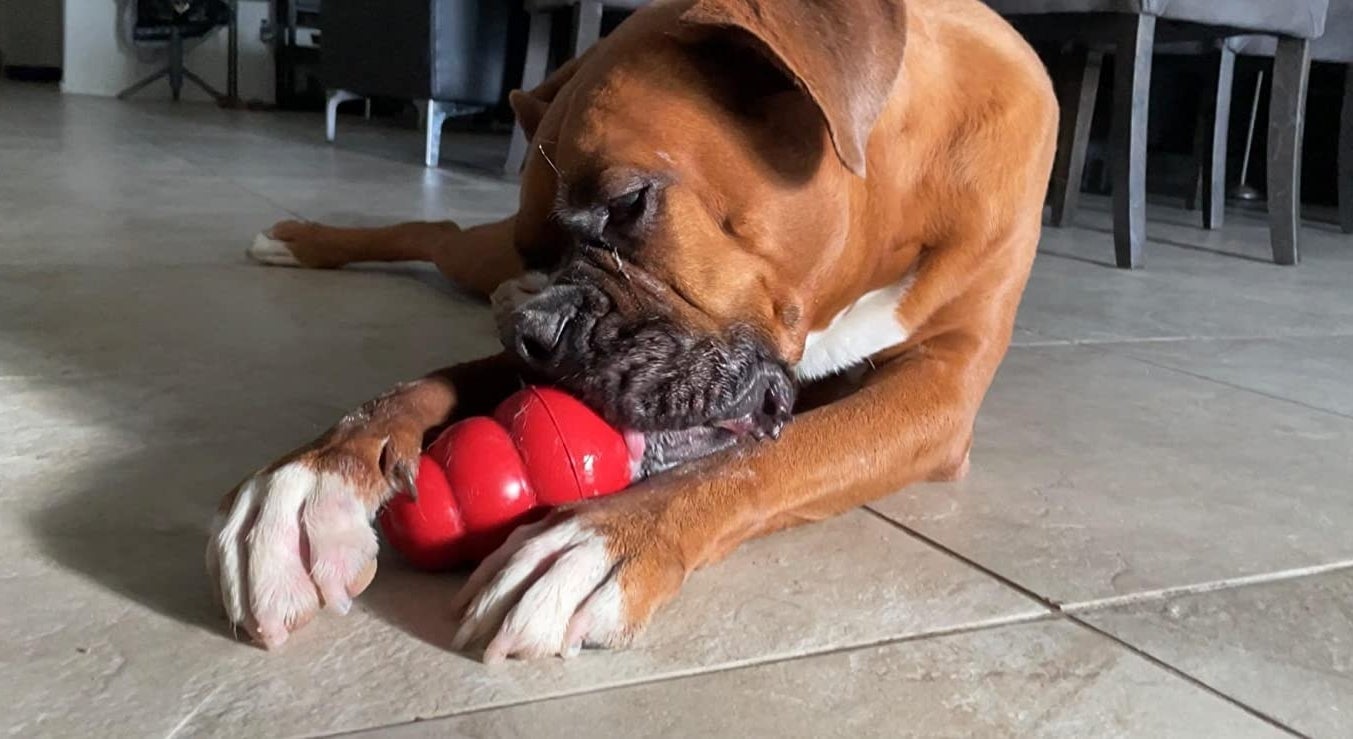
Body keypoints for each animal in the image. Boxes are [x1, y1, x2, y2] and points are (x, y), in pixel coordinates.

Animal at [208, 0, 1055, 660]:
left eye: (627, 205)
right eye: (539, 250)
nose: (532, 328)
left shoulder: (937, 393)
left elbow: (763, 461)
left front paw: (606, 539)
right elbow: (432, 381)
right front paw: (312, 476)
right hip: (476, 255)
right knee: (438, 229)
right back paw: (297, 240)